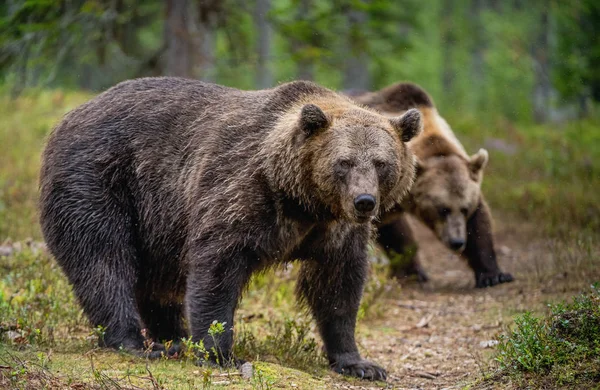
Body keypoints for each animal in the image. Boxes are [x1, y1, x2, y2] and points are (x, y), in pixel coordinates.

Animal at [38, 77, 422, 380]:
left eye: (381, 163)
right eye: (344, 162)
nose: (364, 201)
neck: (301, 200)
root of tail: (69, 116)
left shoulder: (335, 230)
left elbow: (338, 286)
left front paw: (359, 363)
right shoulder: (239, 192)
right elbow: (217, 268)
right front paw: (220, 353)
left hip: (157, 222)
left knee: (157, 281)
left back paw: (174, 337)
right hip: (102, 180)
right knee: (104, 260)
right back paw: (136, 341)